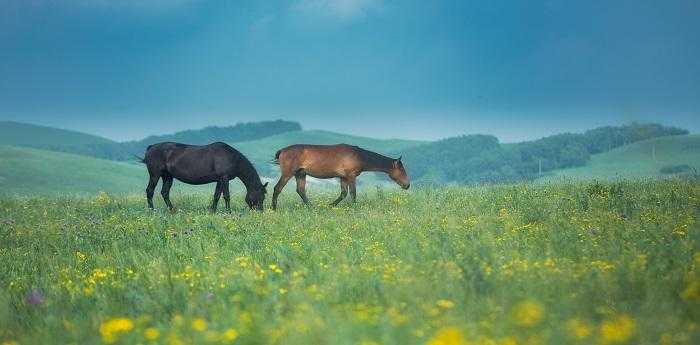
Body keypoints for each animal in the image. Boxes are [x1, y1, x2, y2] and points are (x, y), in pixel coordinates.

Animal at [270, 143, 410, 208]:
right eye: (402, 170)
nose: (407, 185)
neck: (359, 156)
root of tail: (282, 150)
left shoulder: (343, 177)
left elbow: (343, 194)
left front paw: (330, 205)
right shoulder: (351, 176)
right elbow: (353, 193)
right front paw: (354, 207)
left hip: (301, 174)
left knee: (301, 190)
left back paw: (312, 207)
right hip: (288, 173)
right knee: (277, 188)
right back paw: (273, 208)